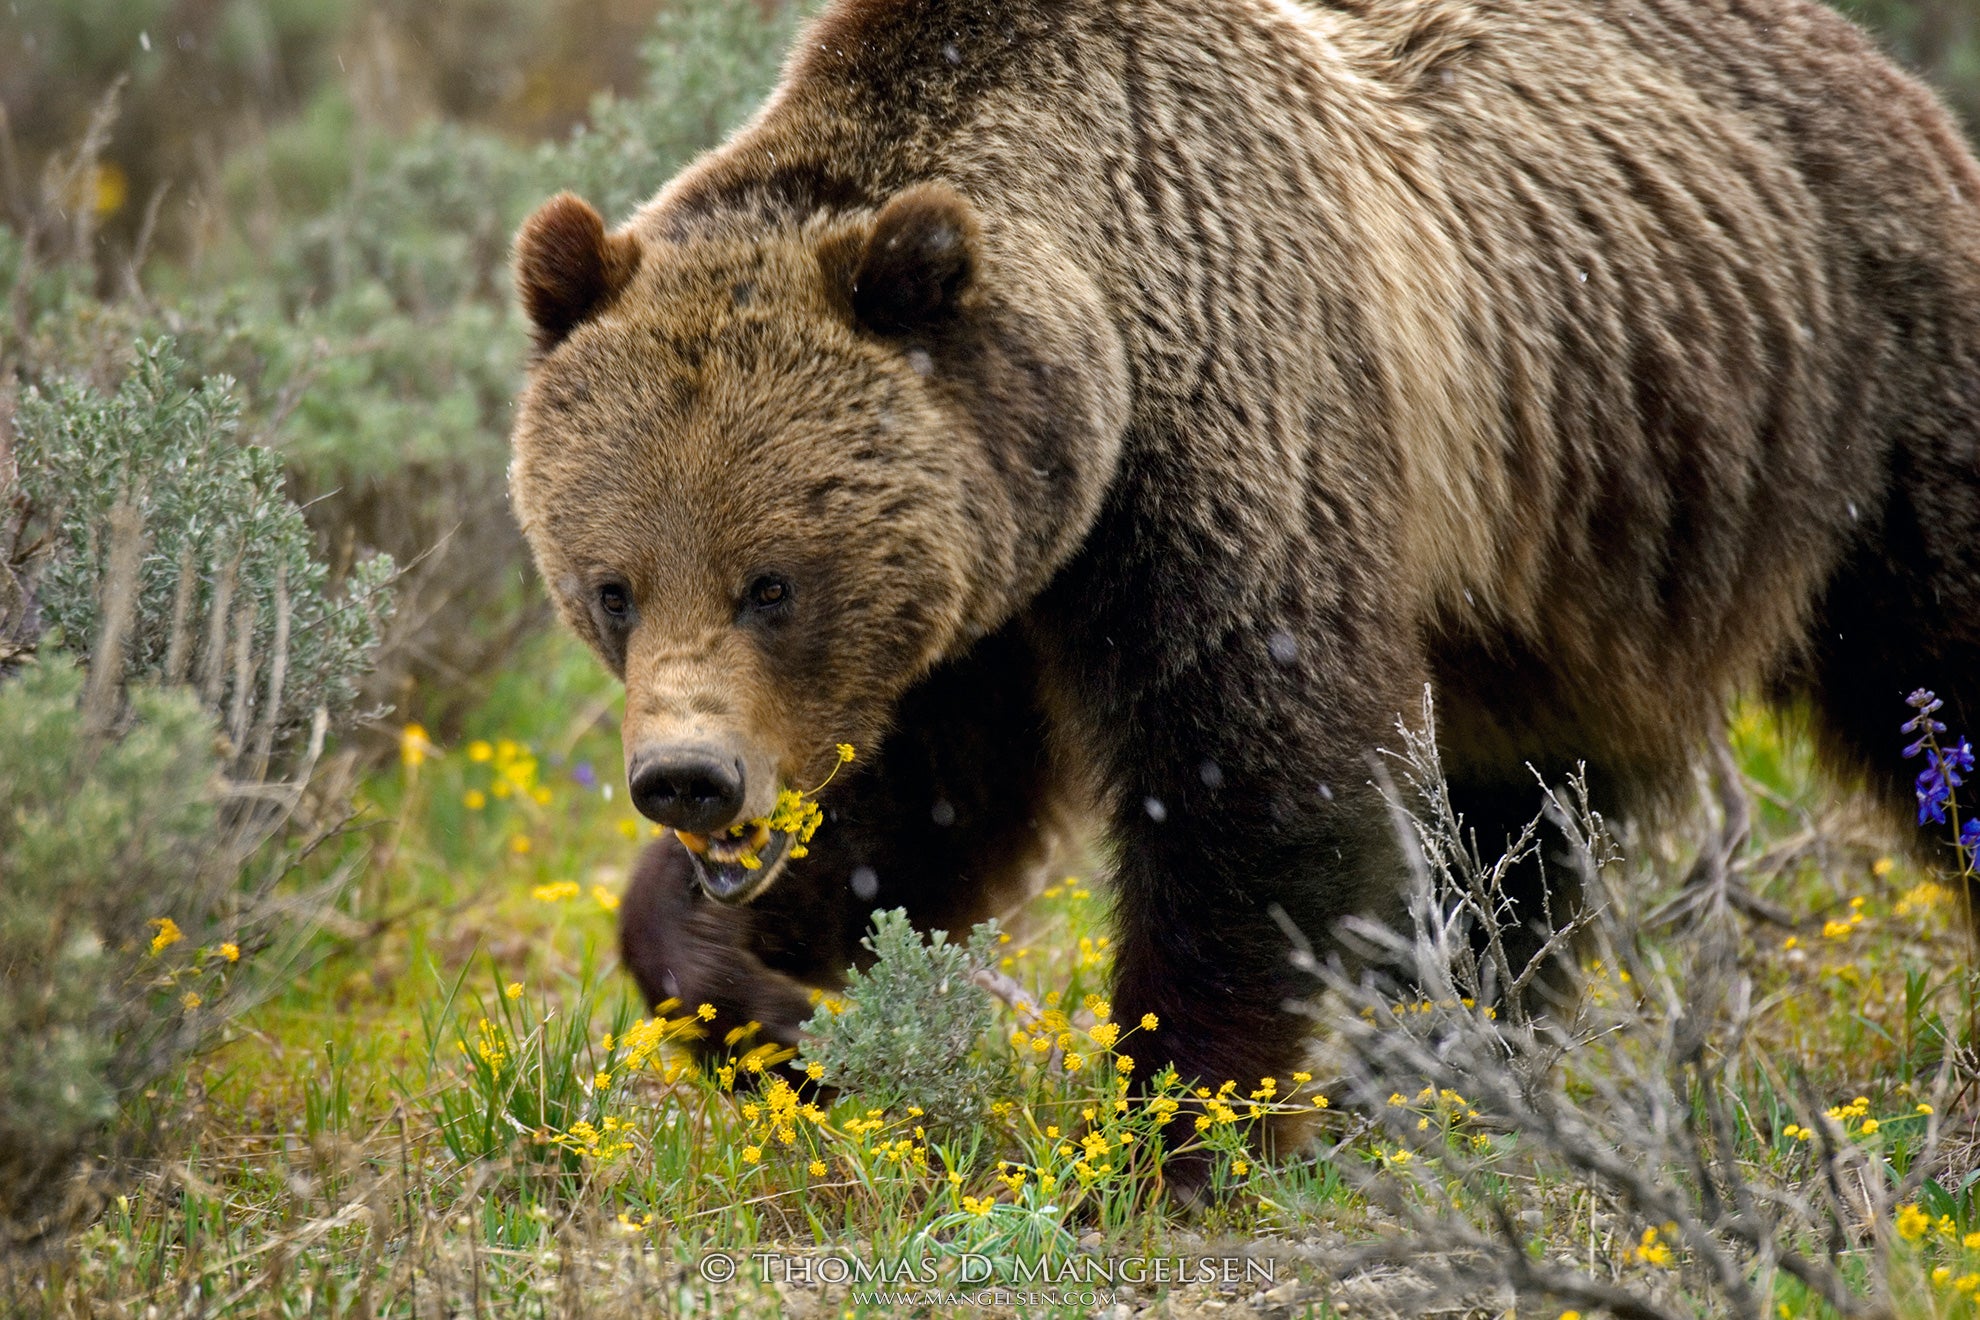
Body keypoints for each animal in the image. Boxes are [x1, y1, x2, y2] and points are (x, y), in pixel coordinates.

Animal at [510, 0, 1980, 1147]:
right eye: (613, 587)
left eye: (773, 582)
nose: (687, 778)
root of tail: (1880, 67)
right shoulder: (978, 597)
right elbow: (919, 812)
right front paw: (758, 1003)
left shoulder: (1241, 443)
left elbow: (1261, 778)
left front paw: (1179, 1128)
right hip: (1552, 579)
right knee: (1517, 827)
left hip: (1852, 406)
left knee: (1934, 661)